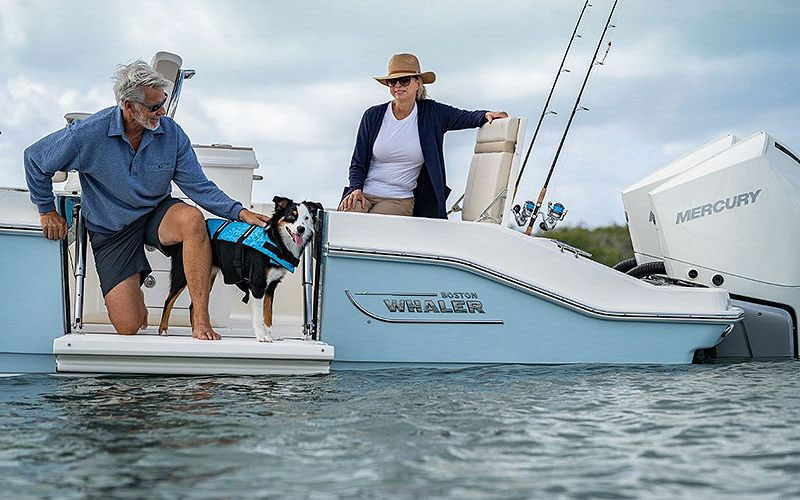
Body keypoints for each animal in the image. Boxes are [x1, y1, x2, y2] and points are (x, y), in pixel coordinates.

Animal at [158, 197, 324, 342]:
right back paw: (163, 329)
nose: (301, 229)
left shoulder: (271, 287)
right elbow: (259, 315)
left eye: (307, 218)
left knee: (194, 305)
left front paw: (270, 334)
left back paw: (197, 331)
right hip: (182, 272)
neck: (276, 241)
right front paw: (262, 336)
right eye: (291, 216)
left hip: (206, 274)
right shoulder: (257, 284)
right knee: (169, 300)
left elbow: (268, 314)